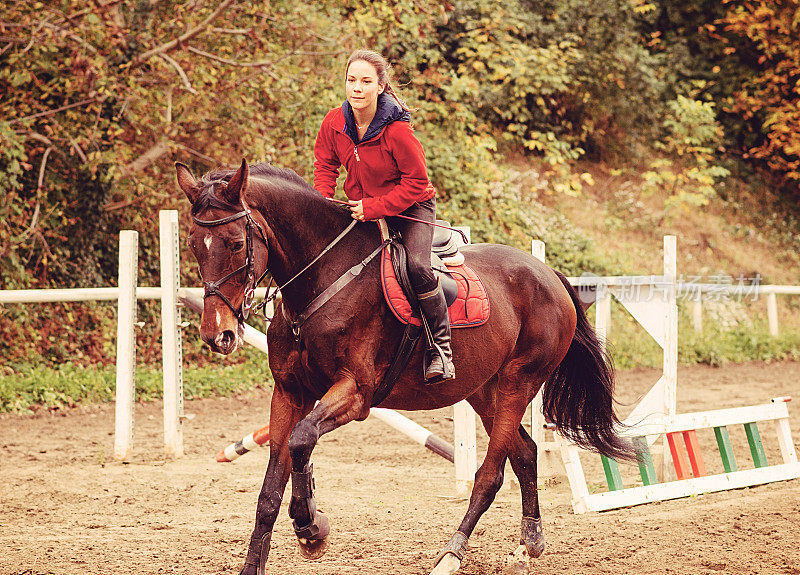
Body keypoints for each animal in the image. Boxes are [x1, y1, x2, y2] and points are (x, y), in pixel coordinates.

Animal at [175, 160, 632, 575]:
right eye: (195, 244)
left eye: (236, 243)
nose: (218, 334)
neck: (320, 280)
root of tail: (547, 273)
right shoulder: (289, 394)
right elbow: (271, 487)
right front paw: (279, 544)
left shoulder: (355, 393)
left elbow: (302, 440)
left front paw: (310, 528)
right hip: (482, 390)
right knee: (524, 453)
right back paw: (529, 542)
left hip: (519, 383)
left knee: (490, 475)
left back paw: (451, 555)